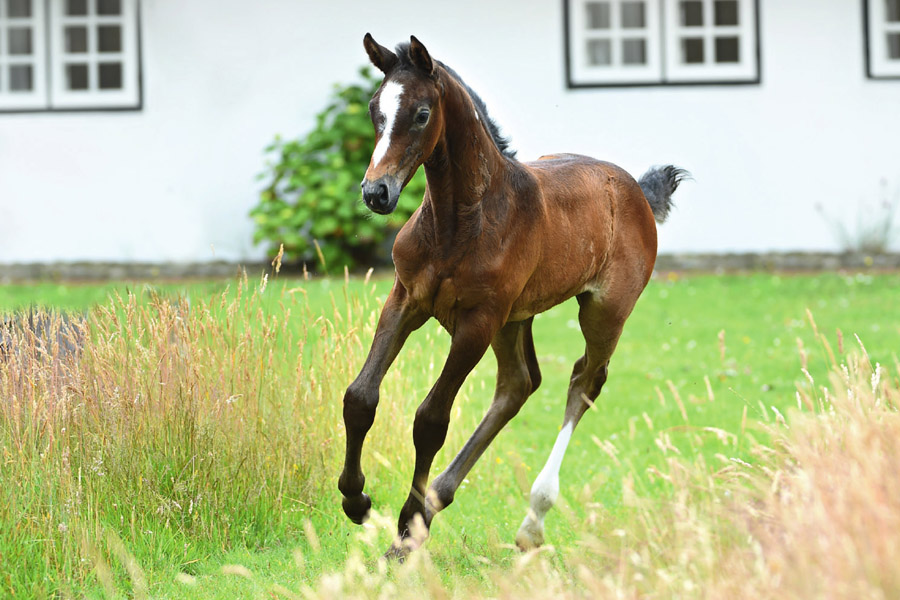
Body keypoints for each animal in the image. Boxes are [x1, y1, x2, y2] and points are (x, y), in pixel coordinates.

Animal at [338, 33, 687, 558]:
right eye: (375, 109)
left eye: (421, 113)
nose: (376, 192)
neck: (459, 222)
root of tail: (636, 190)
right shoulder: (405, 300)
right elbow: (360, 396)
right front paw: (356, 500)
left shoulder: (476, 322)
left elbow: (431, 419)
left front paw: (406, 532)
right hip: (515, 317)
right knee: (519, 383)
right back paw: (440, 498)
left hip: (601, 311)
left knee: (585, 382)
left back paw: (532, 519)